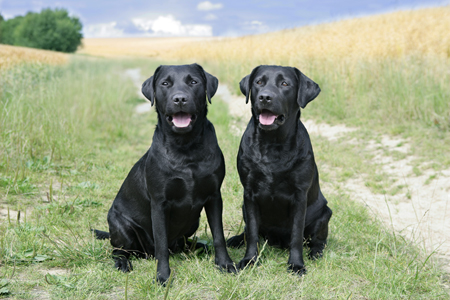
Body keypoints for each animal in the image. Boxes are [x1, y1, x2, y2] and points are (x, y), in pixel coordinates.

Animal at [94, 63, 236, 284]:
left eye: (193, 81)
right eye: (165, 83)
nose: (180, 99)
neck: (186, 146)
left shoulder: (214, 196)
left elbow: (219, 236)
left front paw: (225, 264)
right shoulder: (160, 203)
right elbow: (161, 244)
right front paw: (162, 276)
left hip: (193, 222)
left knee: (185, 244)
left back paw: (200, 247)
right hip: (122, 227)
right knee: (119, 251)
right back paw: (123, 263)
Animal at [229, 64, 330, 276]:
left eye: (285, 84)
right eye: (259, 82)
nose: (265, 97)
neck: (272, 143)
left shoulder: (299, 196)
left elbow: (296, 235)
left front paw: (296, 264)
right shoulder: (249, 194)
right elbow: (252, 233)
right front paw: (250, 260)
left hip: (325, 213)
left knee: (318, 241)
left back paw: (315, 253)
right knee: (249, 231)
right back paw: (236, 239)